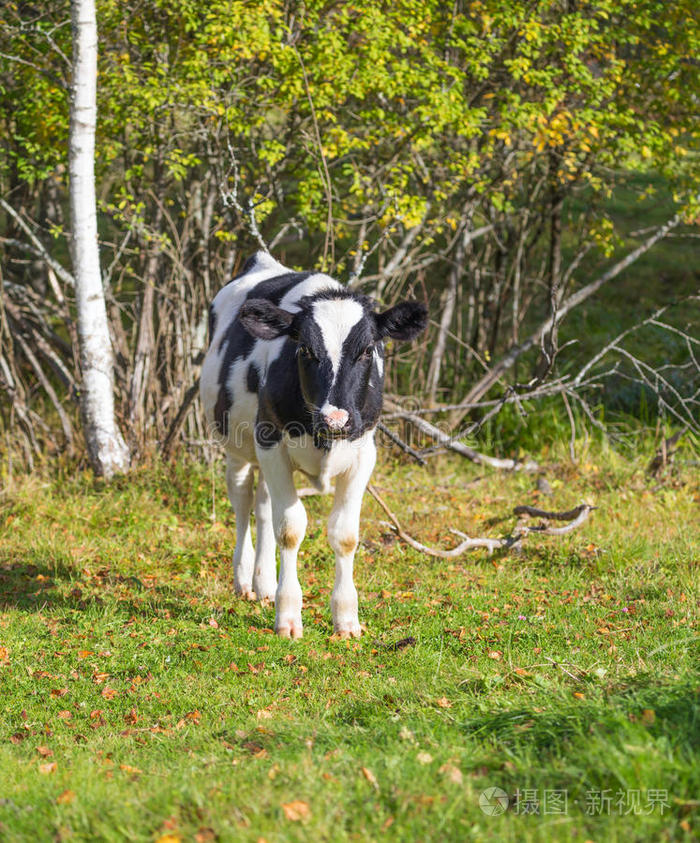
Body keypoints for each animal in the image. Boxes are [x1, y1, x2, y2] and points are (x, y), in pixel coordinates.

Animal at [200, 251, 430, 640]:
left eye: (367, 350)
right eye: (304, 349)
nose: (335, 418)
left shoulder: (364, 451)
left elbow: (344, 534)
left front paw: (347, 619)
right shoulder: (270, 440)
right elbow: (290, 529)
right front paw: (288, 616)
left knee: (263, 507)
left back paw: (264, 585)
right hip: (237, 444)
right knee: (243, 501)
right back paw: (244, 581)